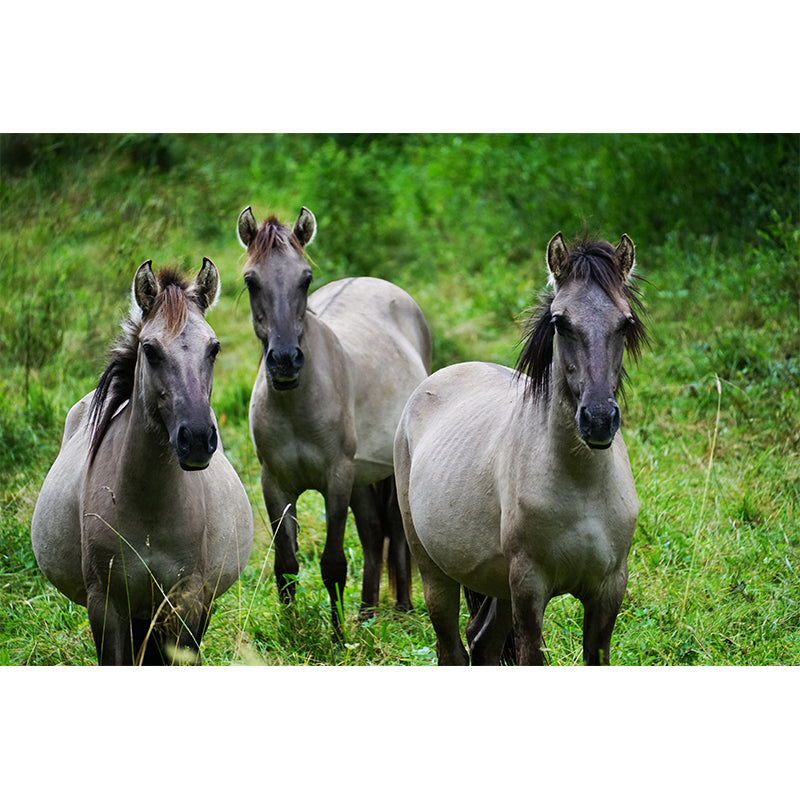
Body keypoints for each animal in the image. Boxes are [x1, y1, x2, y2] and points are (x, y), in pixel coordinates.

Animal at [31, 259, 254, 665]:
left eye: (214, 348)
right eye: (149, 349)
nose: (197, 440)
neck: (150, 510)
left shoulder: (187, 602)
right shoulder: (106, 607)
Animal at [237, 205, 431, 637]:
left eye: (305, 278)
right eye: (250, 280)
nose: (285, 361)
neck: (297, 405)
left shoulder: (336, 479)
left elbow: (333, 564)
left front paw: (339, 638)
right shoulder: (274, 485)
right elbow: (286, 565)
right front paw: (292, 631)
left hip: (388, 471)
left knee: (395, 529)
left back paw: (401, 608)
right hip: (362, 477)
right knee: (374, 535)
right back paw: (367, 613)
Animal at [394, 232, 648, 665]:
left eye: (625, 321)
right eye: (560, 322)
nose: (598, 419)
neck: (581, 485)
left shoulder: (608, 591)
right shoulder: (529, 590)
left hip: (497, 588)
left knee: (482, 643)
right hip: (436, 575)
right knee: (451, 649)